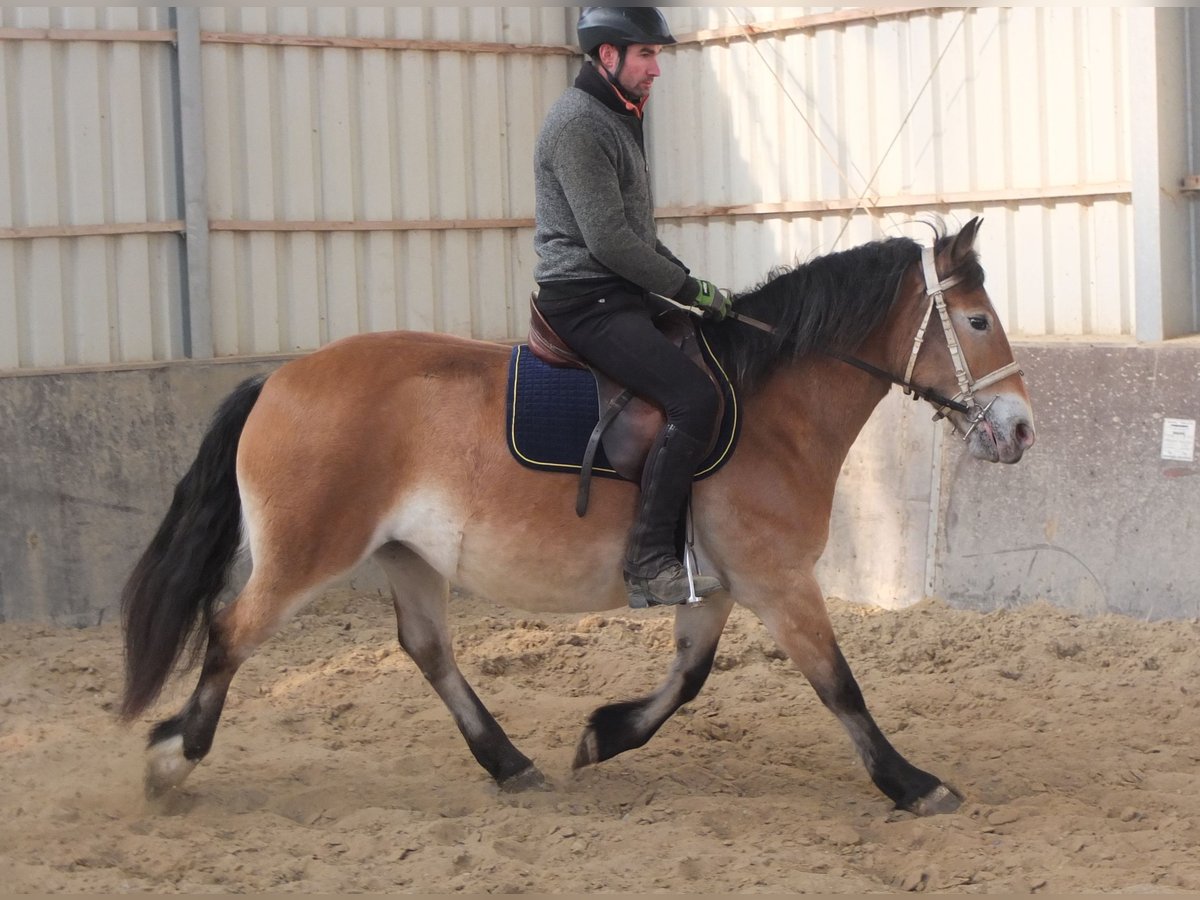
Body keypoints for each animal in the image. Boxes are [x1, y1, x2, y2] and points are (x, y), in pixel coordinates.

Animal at [119, 218, 1032, 816]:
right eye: (978, 320)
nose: (1021, 429)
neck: (774, 405)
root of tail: (277, 378)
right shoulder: (778, 581)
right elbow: (840, 686)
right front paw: (913, 784)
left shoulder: (718, 585)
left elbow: (690, 679)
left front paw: (603, 734)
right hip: (308, 551)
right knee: (232, 630)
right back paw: (171, 759)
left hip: (407, 553)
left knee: (427, 649)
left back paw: (510, 763)